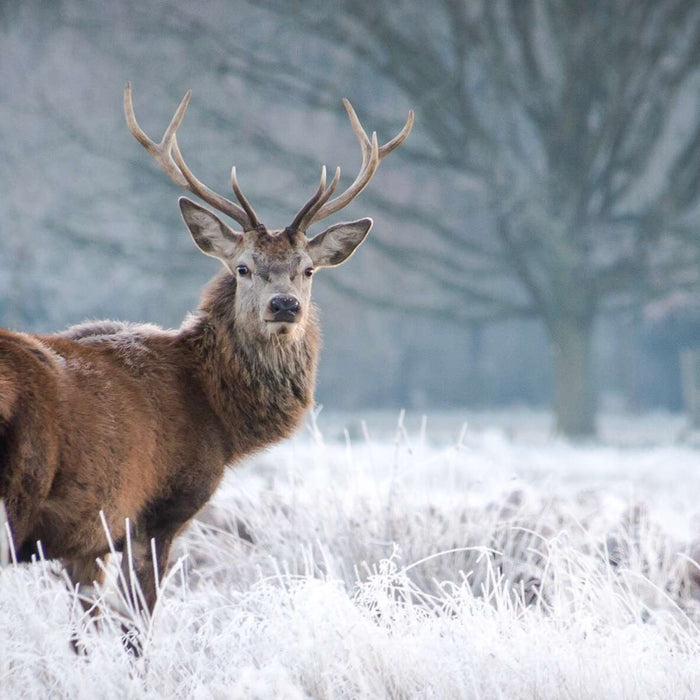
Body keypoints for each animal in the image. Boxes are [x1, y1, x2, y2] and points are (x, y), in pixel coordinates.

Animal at [0, 82, 410, 636]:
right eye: (243, 268)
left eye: (307, 269)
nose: (284, 305)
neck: (216, 415)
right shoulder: (156, 510)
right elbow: (135, 630)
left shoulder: (86, 539)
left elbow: (81, 635)